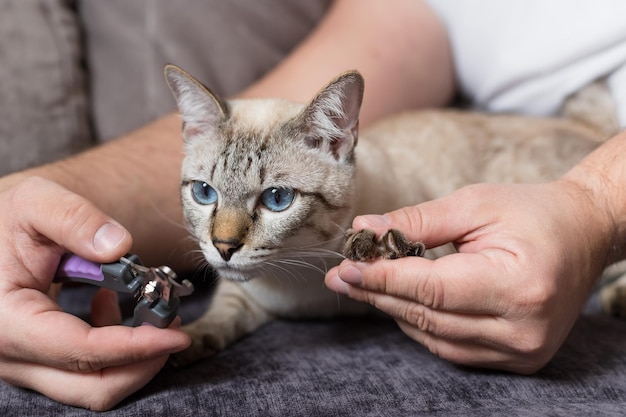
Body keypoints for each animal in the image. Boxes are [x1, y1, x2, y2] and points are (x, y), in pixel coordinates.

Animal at [163, 63, 604, 366]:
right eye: (204, 193)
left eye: (276, 199)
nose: (224, 247)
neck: (300, 281)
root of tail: (592, 132)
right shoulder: (247, 294)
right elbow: (218, 317)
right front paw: (182, 345)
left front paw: (377, 247)